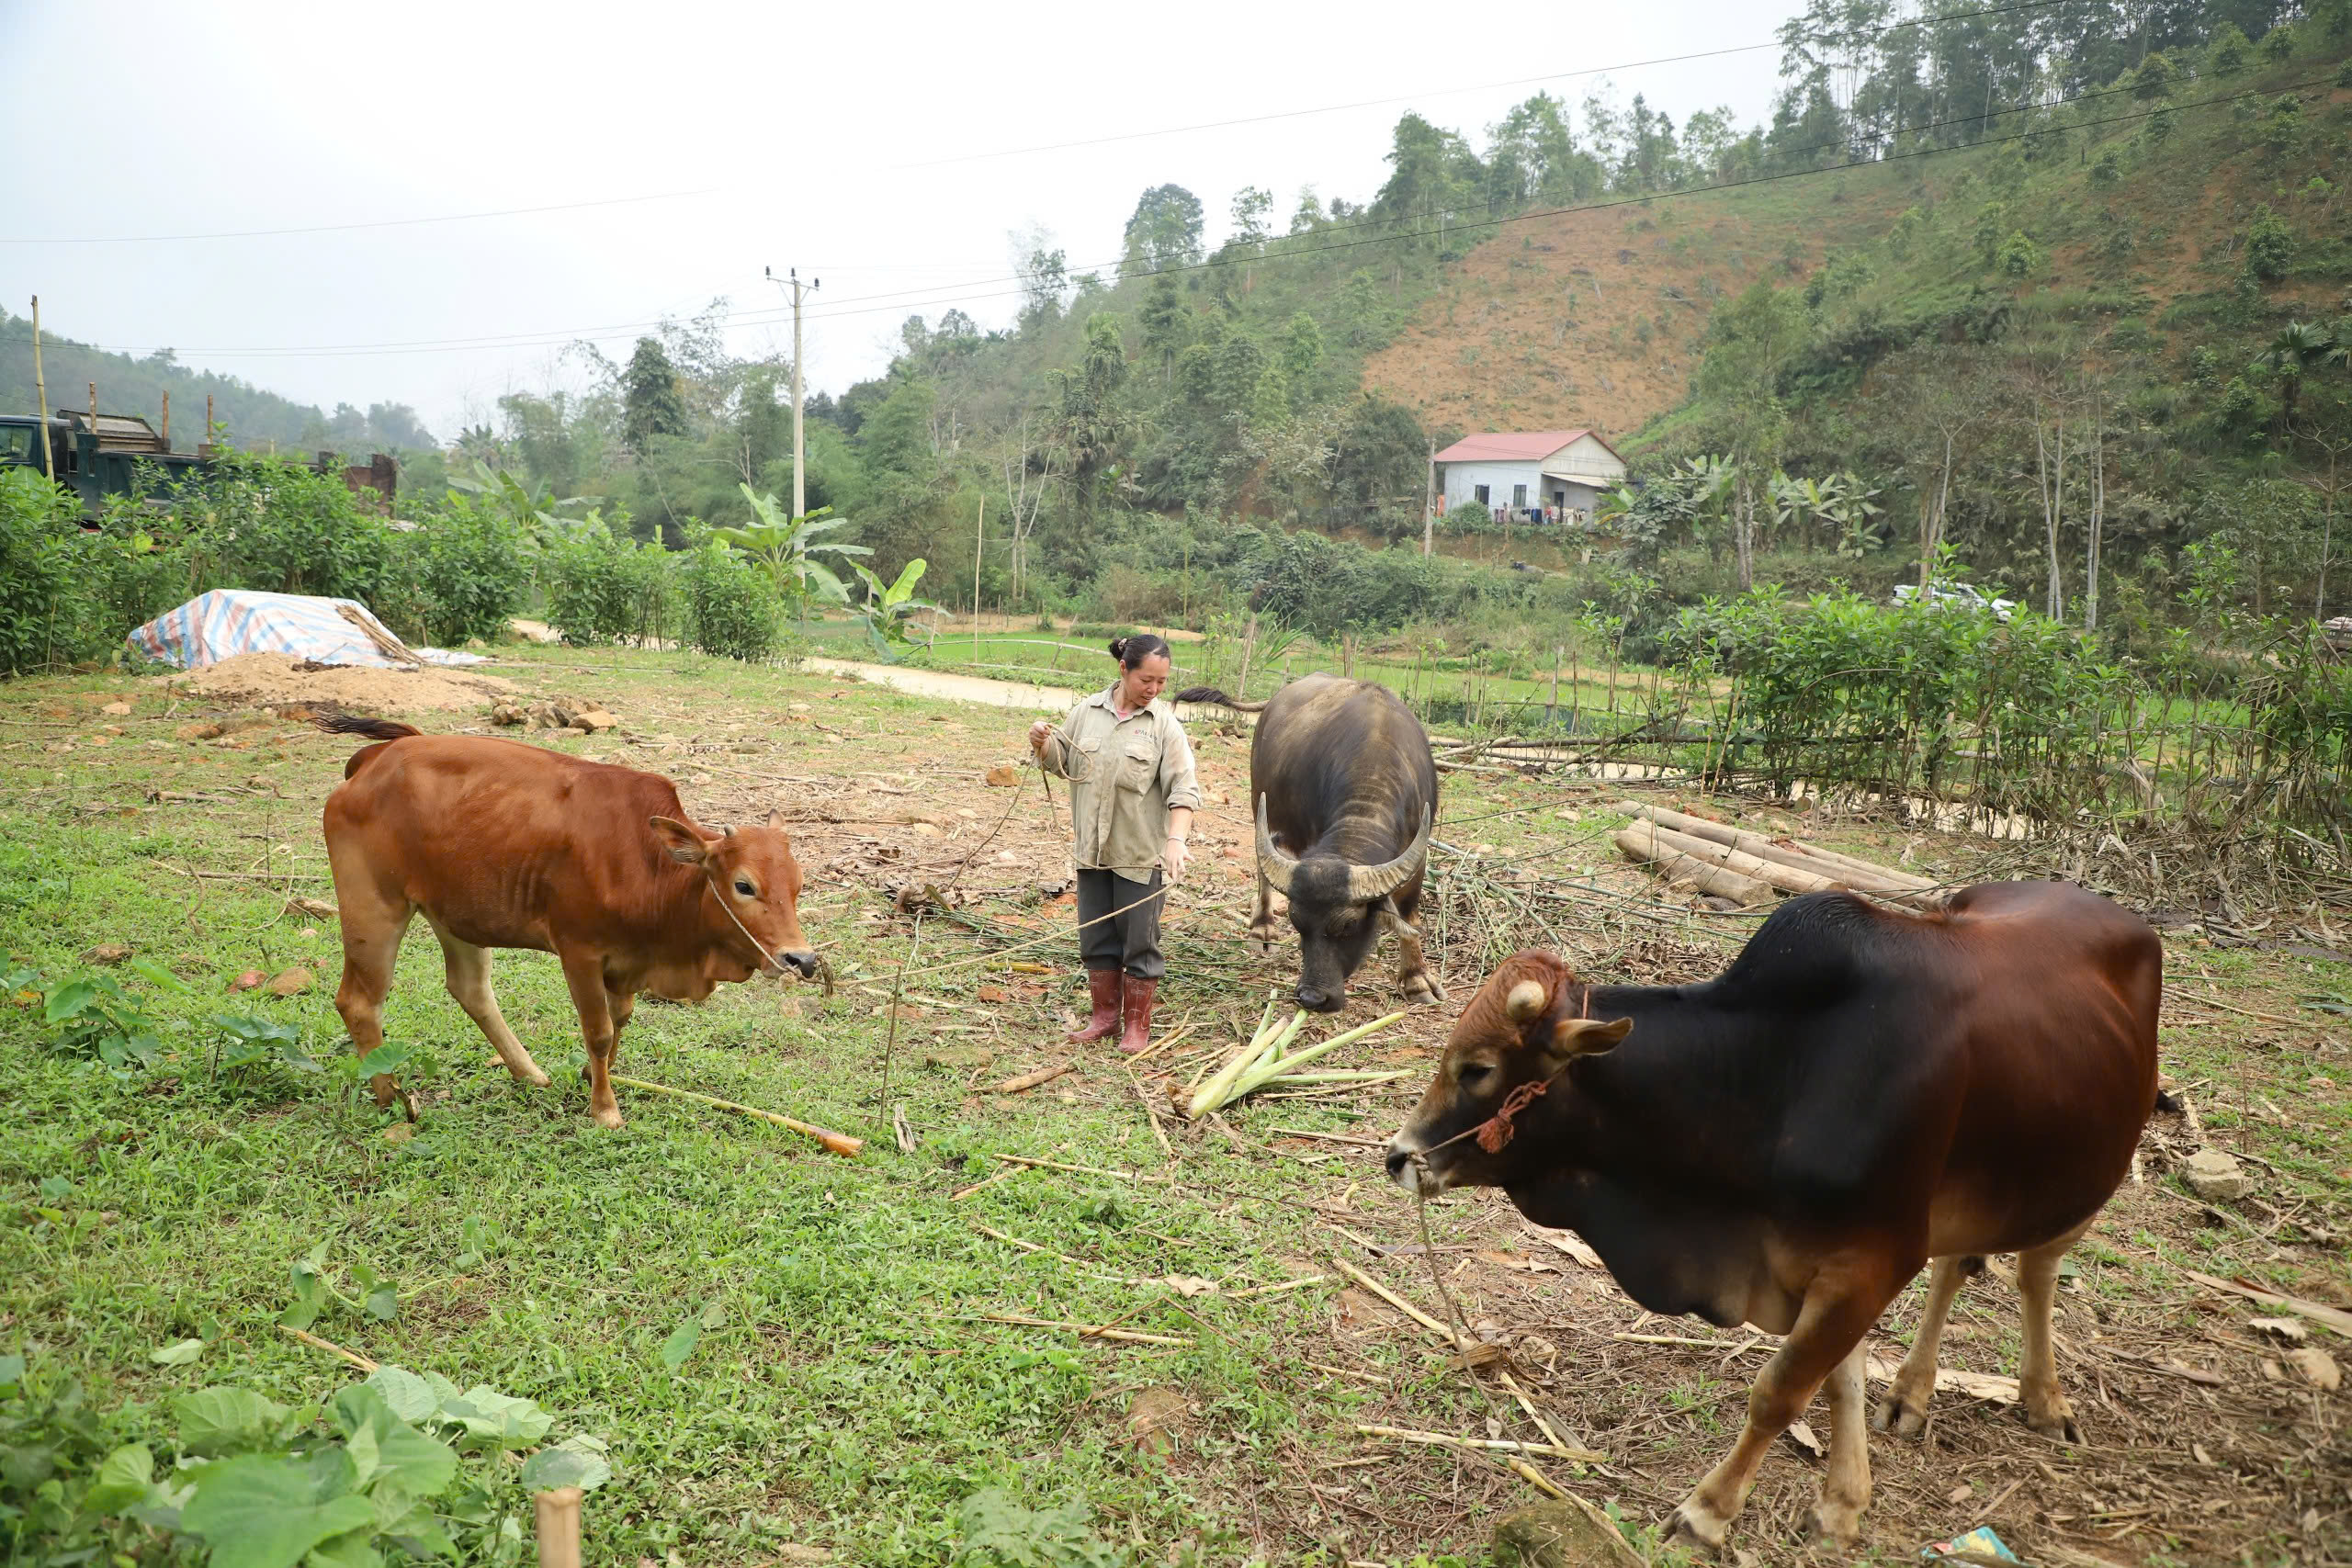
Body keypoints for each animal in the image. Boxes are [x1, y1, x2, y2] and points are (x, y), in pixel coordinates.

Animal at [317, 719, 818, 1133]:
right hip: (373, 906)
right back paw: (391, 1095)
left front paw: (595, 1075)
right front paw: (605, 1108)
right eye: (743, 885)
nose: (802, 959)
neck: (649, 866)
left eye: (799, 885)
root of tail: (376, 758)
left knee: (469, 989)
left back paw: (529, 1073)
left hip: (452, 915)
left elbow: (621, 1019)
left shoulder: (626, 963)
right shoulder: (580, 952)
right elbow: (598, 1032)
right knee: (359, 1001)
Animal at [1170, 677, 1430, 1020]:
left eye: (1348, 924)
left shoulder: (1419, 853)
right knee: (1262, 871)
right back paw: (1262, 929)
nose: (1311, 998)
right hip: (1258, 801)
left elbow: (1410, 915)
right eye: (1296, 921)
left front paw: (1417, 979)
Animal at [1383, 884, 2154, 1541]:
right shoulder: (1828, 1264)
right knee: (1956, 1266)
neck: (1776, 1077)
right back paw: (1912, 1393)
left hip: (2083, 1182)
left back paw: (2045, 1398)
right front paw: (1844, 1501)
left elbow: (1782, 1391)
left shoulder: (1870, 1262)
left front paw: (1708, 1511)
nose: (1398, 1156)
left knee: (2035, 1271)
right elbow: (1839, 1377)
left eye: (1478, 1068)